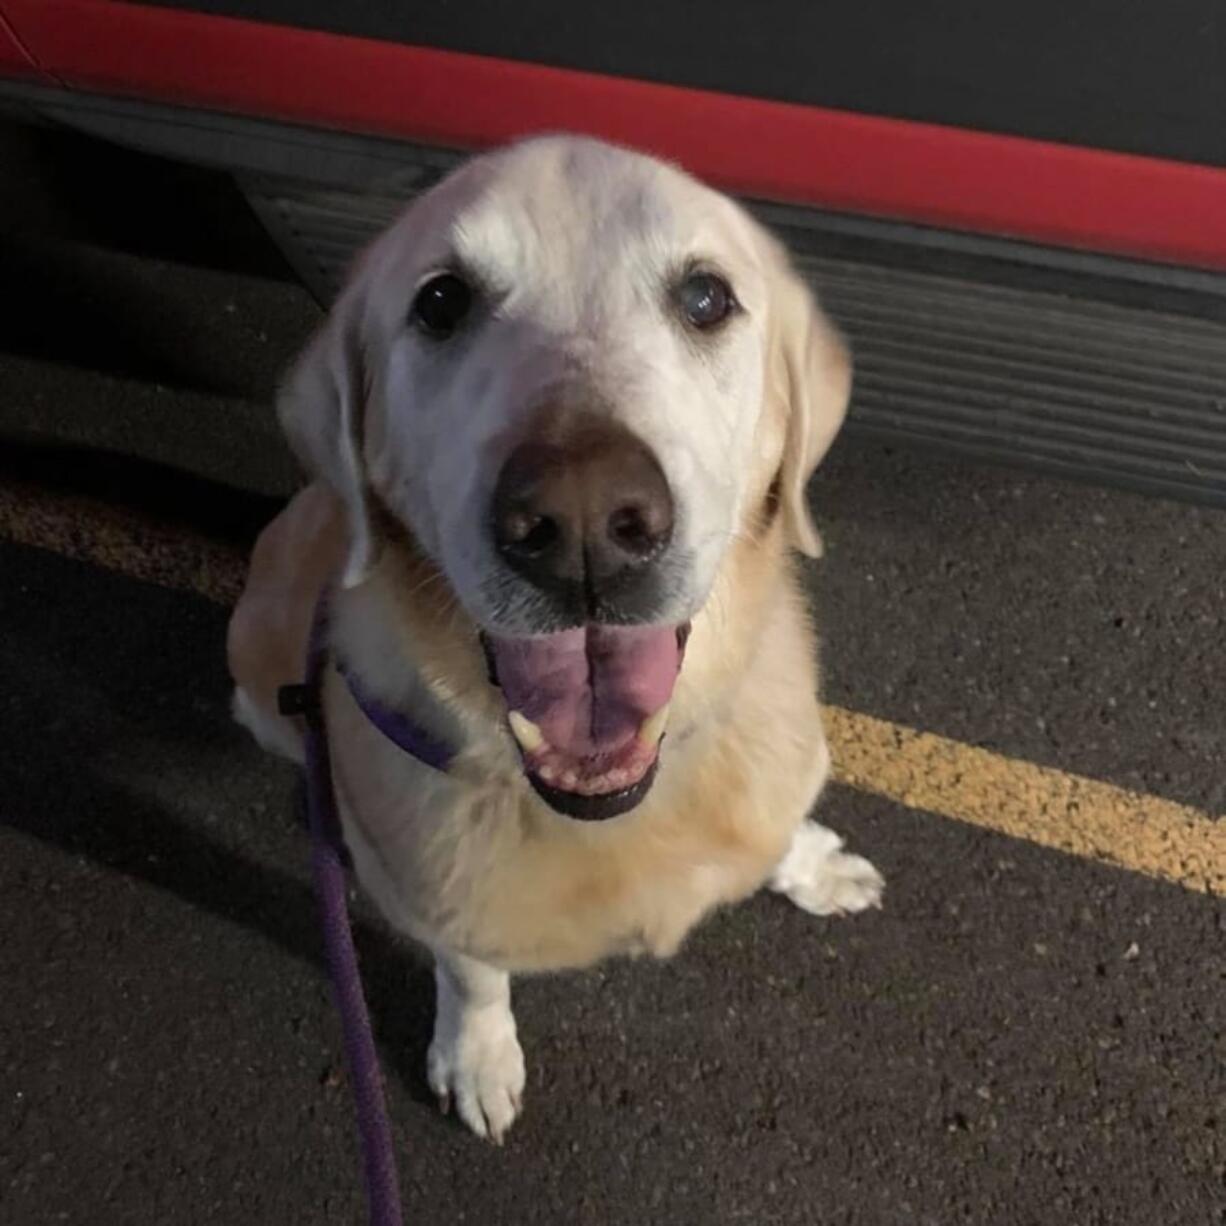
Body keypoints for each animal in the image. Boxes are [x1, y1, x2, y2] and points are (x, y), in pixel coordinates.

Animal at [228, 139, 882, 1142]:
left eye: (705, 297)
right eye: (442, 301)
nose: (580, 525)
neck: (620, 806)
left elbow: (777, 834)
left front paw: (811, 866)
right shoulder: (441, 901)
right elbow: (472, 973)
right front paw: (477, 1057)